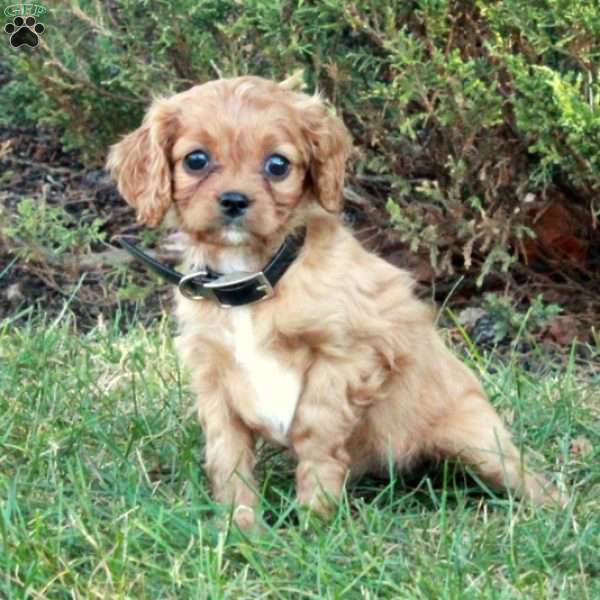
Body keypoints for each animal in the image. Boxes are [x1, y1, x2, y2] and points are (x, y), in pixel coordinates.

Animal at [106, 76, 564, 528]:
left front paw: (315, 520)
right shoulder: (212, 377)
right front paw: (240, 527)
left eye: (277, 165)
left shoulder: (349, 353)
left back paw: (549, 511)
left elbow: (316, 431)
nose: (235, 200)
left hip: (479, 440)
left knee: (527, 475)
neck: (253, 278)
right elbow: (226, 454)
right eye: (196, 160)